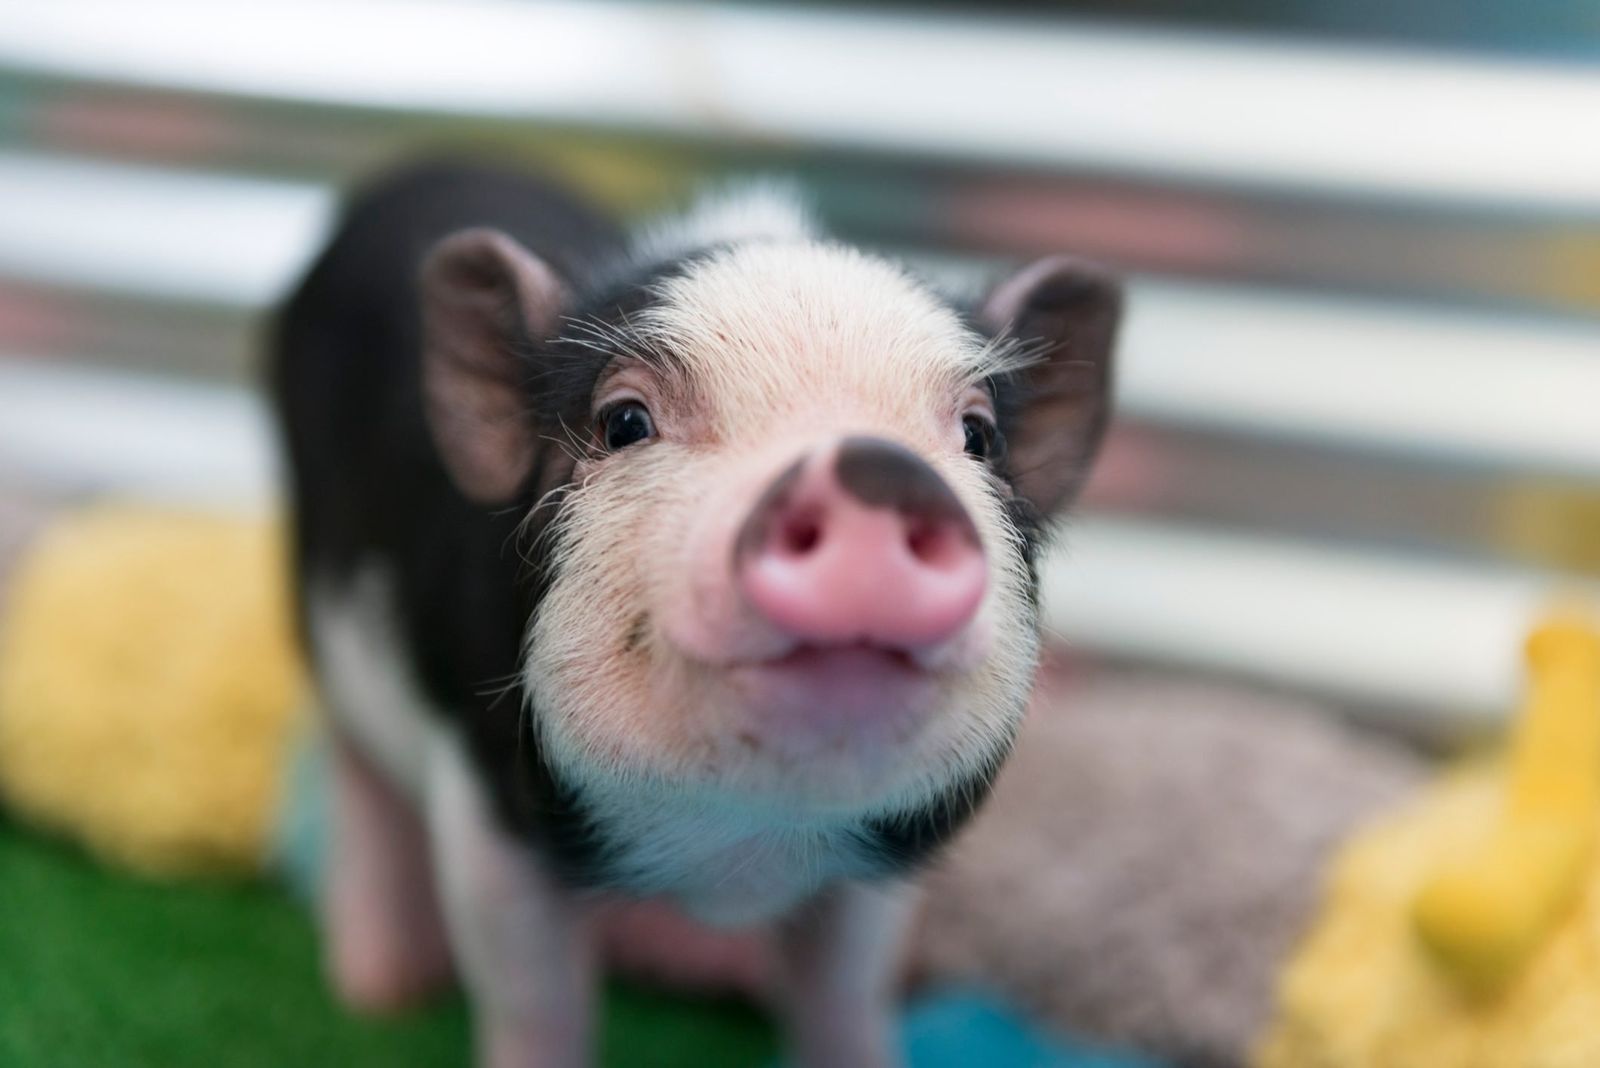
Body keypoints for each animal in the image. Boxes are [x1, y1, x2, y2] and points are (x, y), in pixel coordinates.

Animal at [268, 161, 1120, 1068]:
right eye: (624, 421)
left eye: (978, 436)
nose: (874, 471)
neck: (735, 850)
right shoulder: (488, 802)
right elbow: (535, 1000)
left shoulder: (878, 861)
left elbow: (845, 996)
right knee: (359, 779)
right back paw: (383, 993)